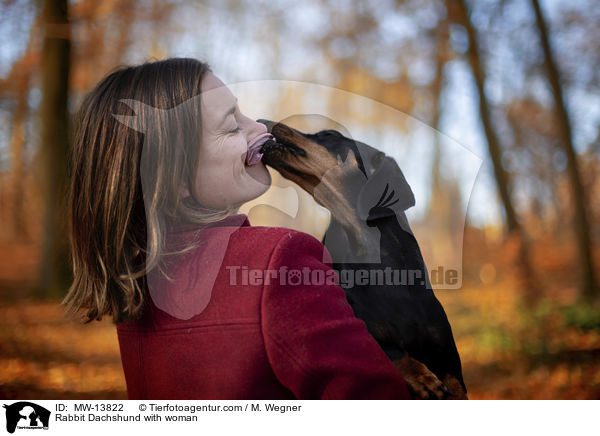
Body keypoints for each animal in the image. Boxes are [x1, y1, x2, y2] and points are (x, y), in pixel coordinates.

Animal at [255, 119, 466, 398]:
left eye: (329, 134)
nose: (262, 122)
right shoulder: (361, 330)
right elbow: (392, 351)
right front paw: (423, 378)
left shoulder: (449, 360)